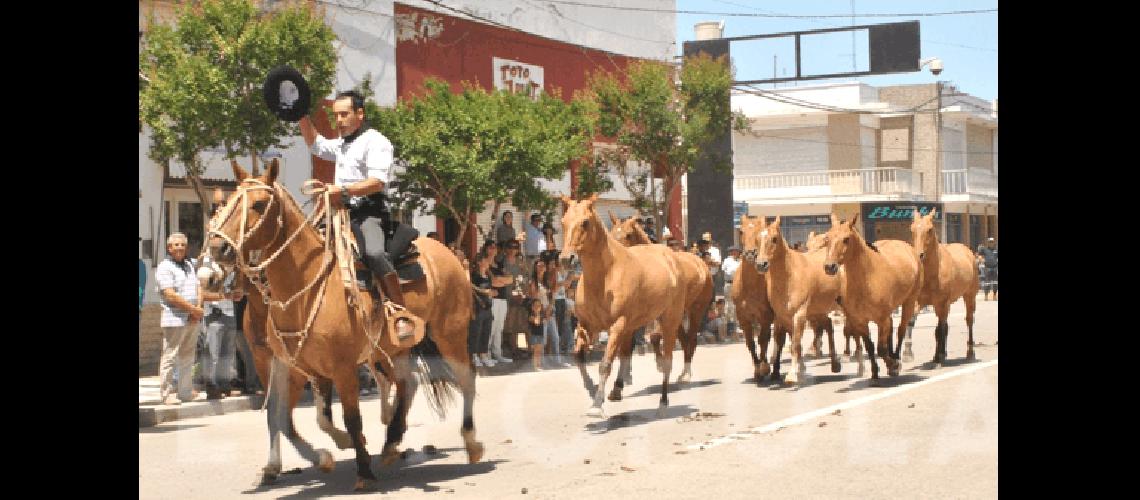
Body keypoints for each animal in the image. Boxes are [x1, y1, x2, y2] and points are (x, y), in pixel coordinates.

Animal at [209, 162, 481, 492]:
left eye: (259, 204)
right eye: (228, 203)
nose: (218, 249)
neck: (303, 289)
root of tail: (448, 253)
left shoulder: (341, 368)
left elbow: (349, 418)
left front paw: (361, 468)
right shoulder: (294, 366)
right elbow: (287, 418)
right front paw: (324, 456)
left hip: (449, 335)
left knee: (466, 379)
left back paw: (471, 443)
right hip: (393, 348)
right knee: (409, 383)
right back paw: (391, 443)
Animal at [563, 195, 684, 419]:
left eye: (585, 222)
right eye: (563, 222)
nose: (567, 259)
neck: (605, 277)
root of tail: (671, 256)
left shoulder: (618, 325)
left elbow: (605, 364)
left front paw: (596, 406)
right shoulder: (586, 324)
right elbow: (579, 357)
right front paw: (593, 390)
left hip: (669, 320)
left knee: (667, 359)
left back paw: (663, 402)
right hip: (633, 325)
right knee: (628, 352)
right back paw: (618, 388)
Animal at [825, 212, 921, 382]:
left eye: (846, 239)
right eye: (827, 238)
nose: (830, 267)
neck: (867, 279)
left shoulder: (881, 319)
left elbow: (881, 348)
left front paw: (893, 365)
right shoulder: (860, 321)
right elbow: (869, 345)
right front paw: (875, 372)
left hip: (909, 301)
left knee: (901, 330)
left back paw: (897, 358)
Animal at [907, 210, 980, 364]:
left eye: (930, 229)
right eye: (912, 229)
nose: (919, 255)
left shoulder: (941, 303)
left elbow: (939, 330)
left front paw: (938, 357)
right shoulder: (918, 301)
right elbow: (910, 321)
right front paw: (907, 352)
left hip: (969, 296)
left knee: (969, 320)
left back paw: (970, 352)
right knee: (946, 325)